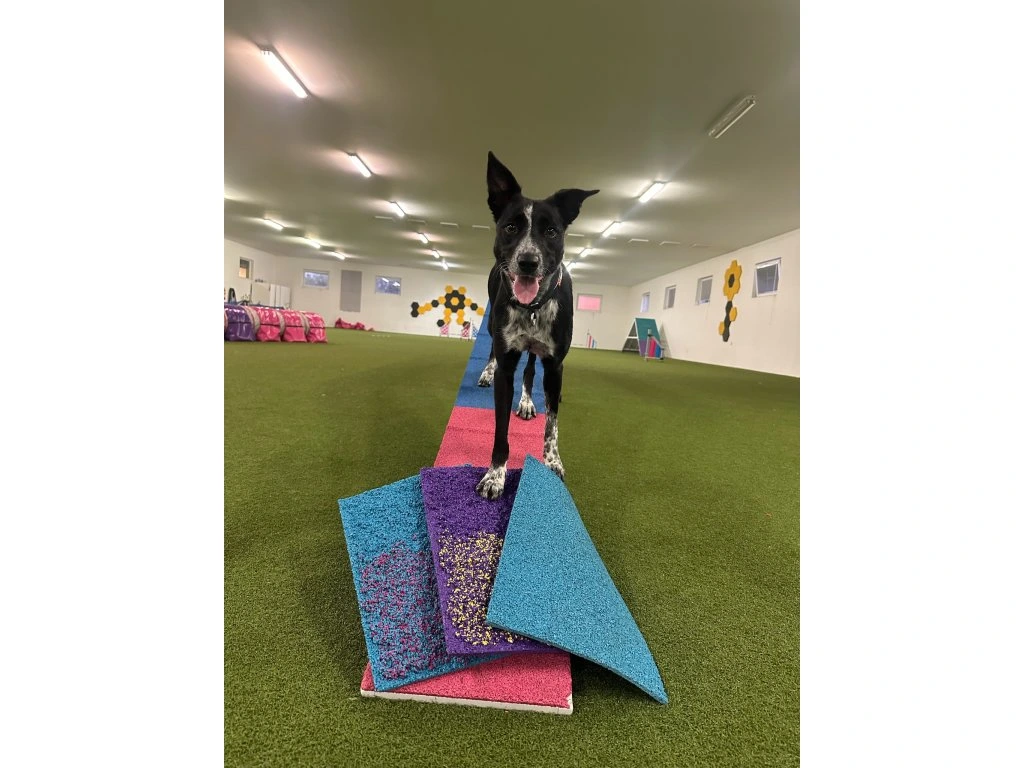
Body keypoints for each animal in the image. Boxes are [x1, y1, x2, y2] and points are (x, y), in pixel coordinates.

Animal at [474, 151, 598, 499]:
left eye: (552, 232)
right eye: (511, 227)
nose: (528, 262)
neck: (531, 309)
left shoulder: (555, 366)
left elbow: (552, 422)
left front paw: (552, 462)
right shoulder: (507, 364)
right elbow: (500, 428)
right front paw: (495, 475)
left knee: (531, 371)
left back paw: (529, 401)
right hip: (493, 326)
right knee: (494, 351)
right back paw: (487, 374)